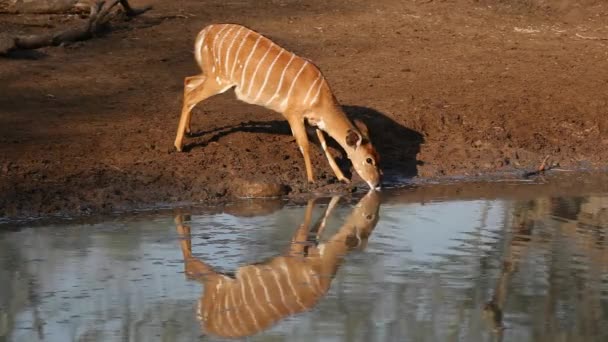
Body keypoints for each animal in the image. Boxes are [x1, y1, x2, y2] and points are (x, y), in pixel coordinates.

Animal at [173, 24, 380, 190]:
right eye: (369, 160)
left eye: (378, 157)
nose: (377, 184)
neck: (319, 96)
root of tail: (204, 33)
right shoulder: (293, 114)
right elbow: (304, 144)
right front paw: (312, 180)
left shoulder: (312, 121)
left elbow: (324, 146)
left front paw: (343, 178)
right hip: (218, 80)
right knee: (191, 96)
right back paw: (178, 146)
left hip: (210, 76)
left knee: (188, 82)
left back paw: (189, 132)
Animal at [173, 191, 380, 338]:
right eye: (369, 217)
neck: (323, 266)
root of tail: (205, 322)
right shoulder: (297, 249)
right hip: (216, 280)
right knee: (190, 268)